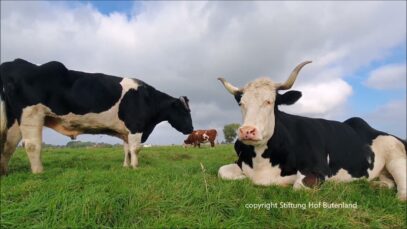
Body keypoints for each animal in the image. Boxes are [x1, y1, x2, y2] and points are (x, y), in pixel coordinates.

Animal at [0, 58, 194, 174]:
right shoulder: (136, 126)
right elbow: (135, 149)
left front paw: (126, 166)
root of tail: (13, 63)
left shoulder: (126, 131)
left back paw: (5, 171)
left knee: (9, 144)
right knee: (32, 145)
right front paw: (135, 167)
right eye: (185, 111)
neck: (147, 98)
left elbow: (126, 149)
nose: (191, 129)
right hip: (31, 114)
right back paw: (39, 172)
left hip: (14, 119)